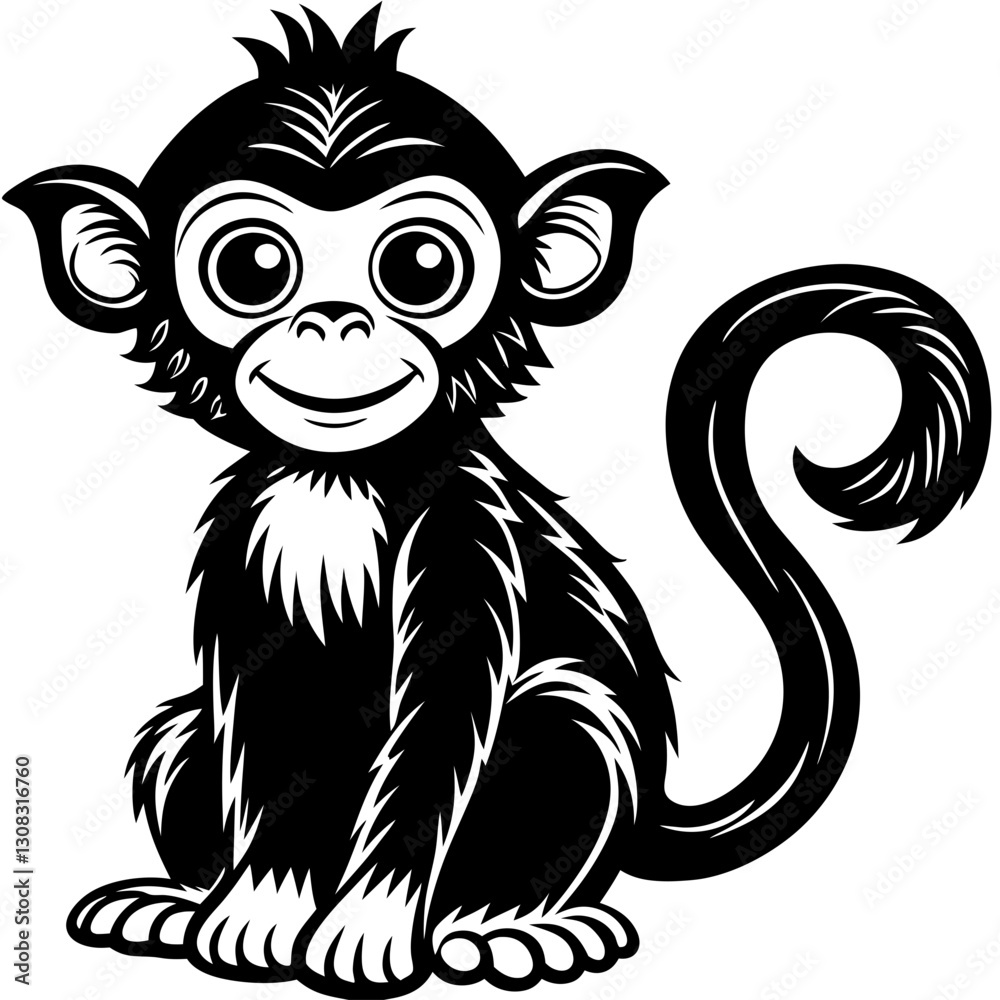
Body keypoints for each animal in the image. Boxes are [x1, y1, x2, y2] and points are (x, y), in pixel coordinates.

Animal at [5, 6, 991, 998]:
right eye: (251, 268)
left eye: (419, 266)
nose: (333, 321)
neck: (346, 476)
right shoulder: (258, 531)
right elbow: (272, 708)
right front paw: (260, 909)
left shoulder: (463, 526)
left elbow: (442, 715)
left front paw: (369, 923)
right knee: (185, 732)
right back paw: (174, 903)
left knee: (555, 714)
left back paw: (505, 927)